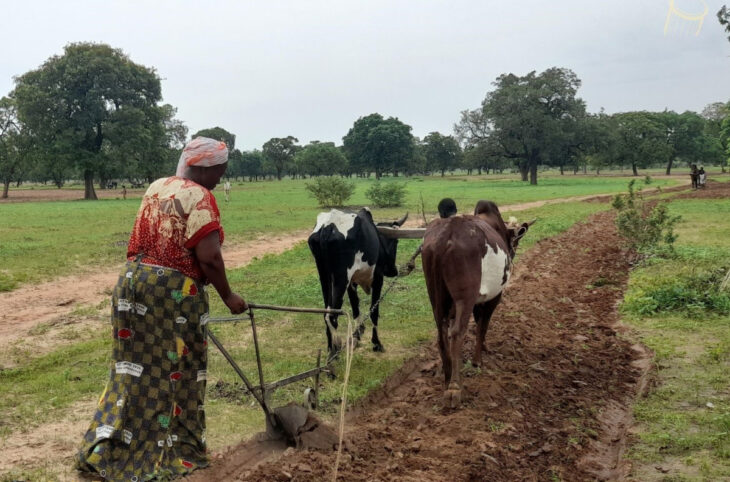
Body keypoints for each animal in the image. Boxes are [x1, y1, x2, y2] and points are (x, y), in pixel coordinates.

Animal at [308, 207, 410, 354]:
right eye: (396, 241)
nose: (392, 271)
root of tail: (328, 226)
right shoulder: (377, 278)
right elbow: (374, 311)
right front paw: (377, 343)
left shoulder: (352, 282)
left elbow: (355, 307)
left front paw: (357, 335)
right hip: (341, 279)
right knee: (332, 316)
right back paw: (336, 349)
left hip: (324, 276)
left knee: (326, 312)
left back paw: (330, 347)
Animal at [420, 200, 528, 406]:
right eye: (516, 241)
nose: (513, 252)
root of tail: (446, 235)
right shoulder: (494, 296)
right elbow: (482, 325)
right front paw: (478, 359)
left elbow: (477, 323)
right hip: (465, 297)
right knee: (457, 333)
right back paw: (455, 388)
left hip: (435, 295)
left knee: (441, 333)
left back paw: (447, 377)